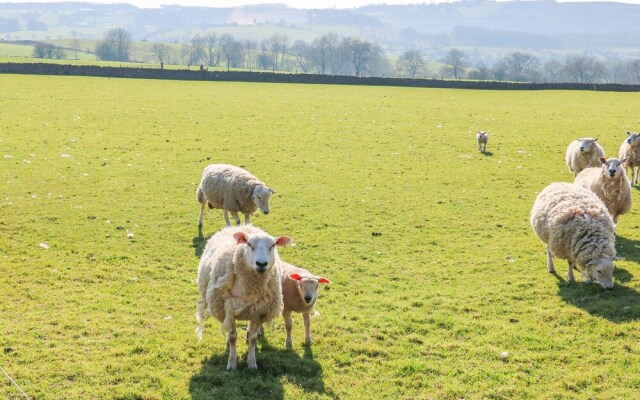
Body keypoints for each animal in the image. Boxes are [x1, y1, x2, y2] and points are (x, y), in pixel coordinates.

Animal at [195, 225, 292, 368]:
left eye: (273, 245)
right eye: (249, 244)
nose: (261, 264)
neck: (249, 287)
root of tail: (242, 226)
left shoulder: (259, 311)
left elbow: (252, 339)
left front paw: (252, 363)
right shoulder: (228, 308)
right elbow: (233, 337)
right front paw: (232, 363)